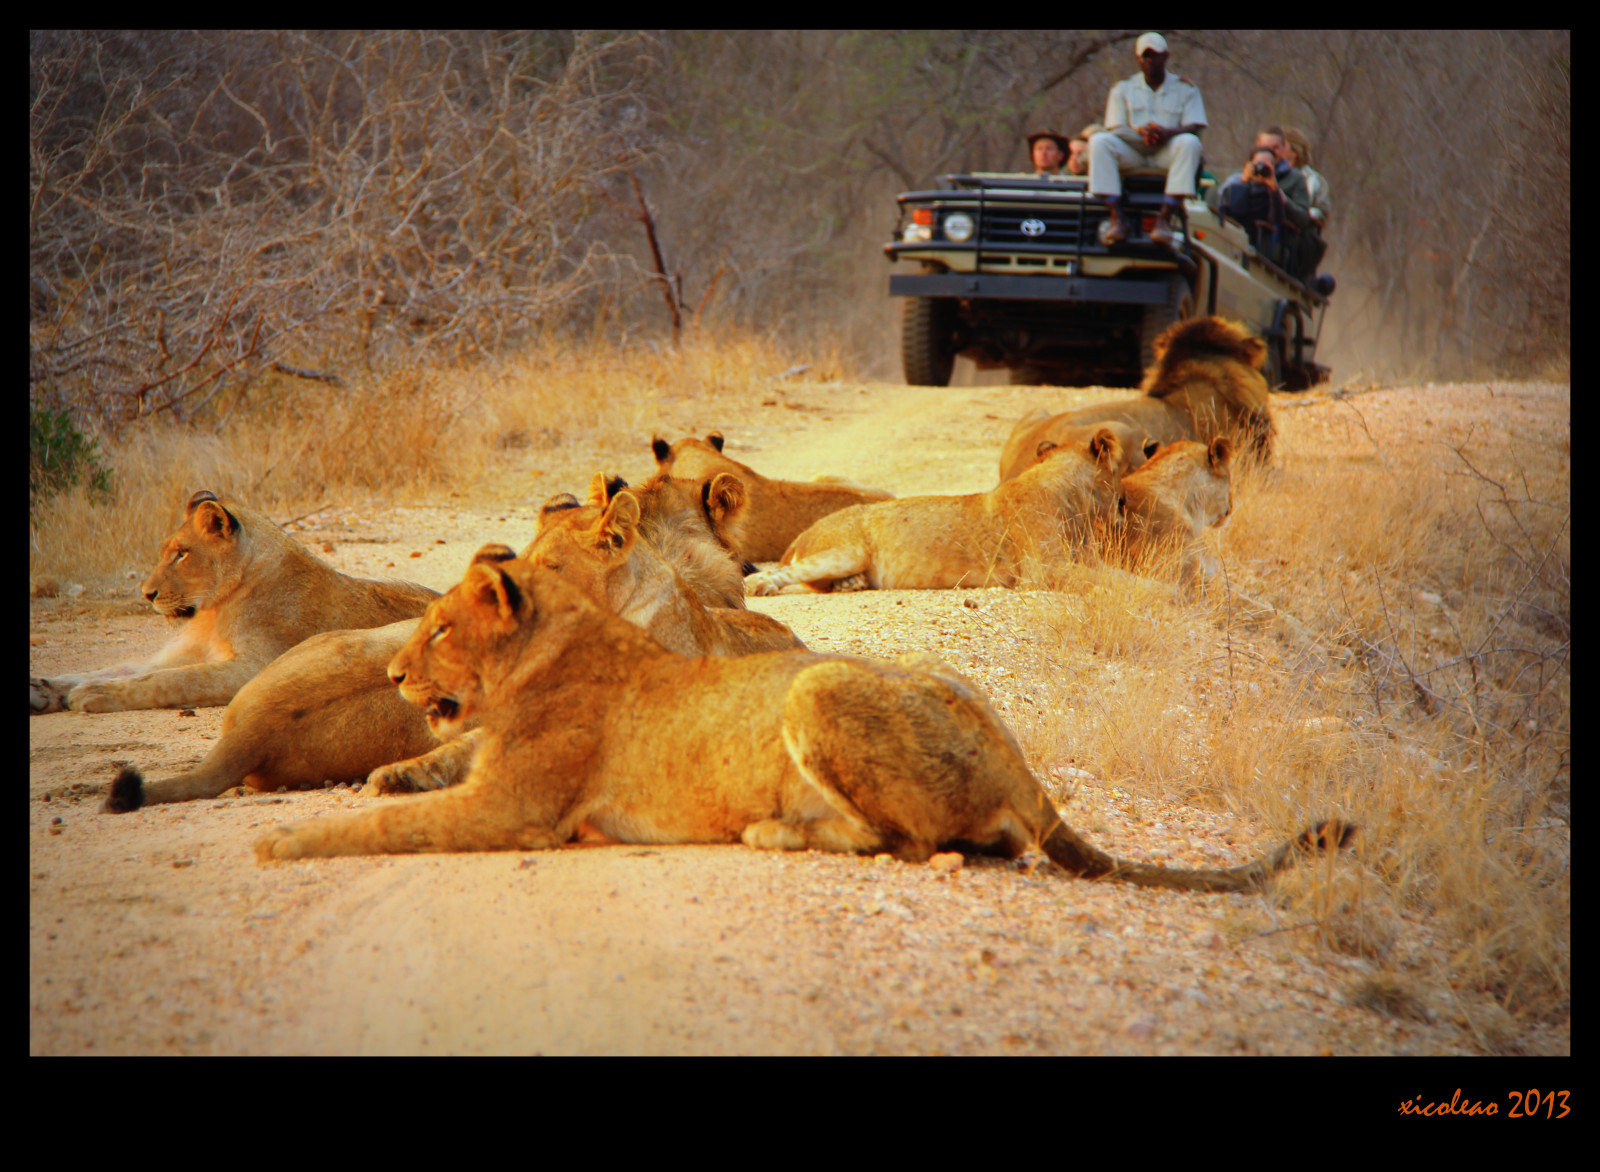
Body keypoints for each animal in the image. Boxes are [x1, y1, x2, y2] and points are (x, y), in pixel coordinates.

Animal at [31, 489, 438, 715]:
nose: (146, 594)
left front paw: (95, 694)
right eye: (166, 552)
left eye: (182, 554)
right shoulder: (176, 654)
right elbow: (114, 669)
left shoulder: (251, 667)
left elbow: (171, 681)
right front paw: (43, 689)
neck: (213, 610)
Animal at [253, 553, 1355, 893]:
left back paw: (772, 830)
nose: (394, 670)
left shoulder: (515, 809)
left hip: (813, 688)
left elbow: (383, 827)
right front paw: (387, 772)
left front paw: (280, 841)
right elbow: (422, 775)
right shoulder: (488, 769)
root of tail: (1016, 756)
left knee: (901, 840)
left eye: (440, 628)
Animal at [745, 429, 1124, 595]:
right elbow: (1110, 583)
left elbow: (1124, 577)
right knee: (789, 573)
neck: (1075, 504)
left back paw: (851, 584)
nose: (1123, 508)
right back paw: (760, 585)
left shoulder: (1081, 561)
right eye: (1119, 474)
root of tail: (802, 535)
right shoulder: (1044, 571)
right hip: (847, 549)